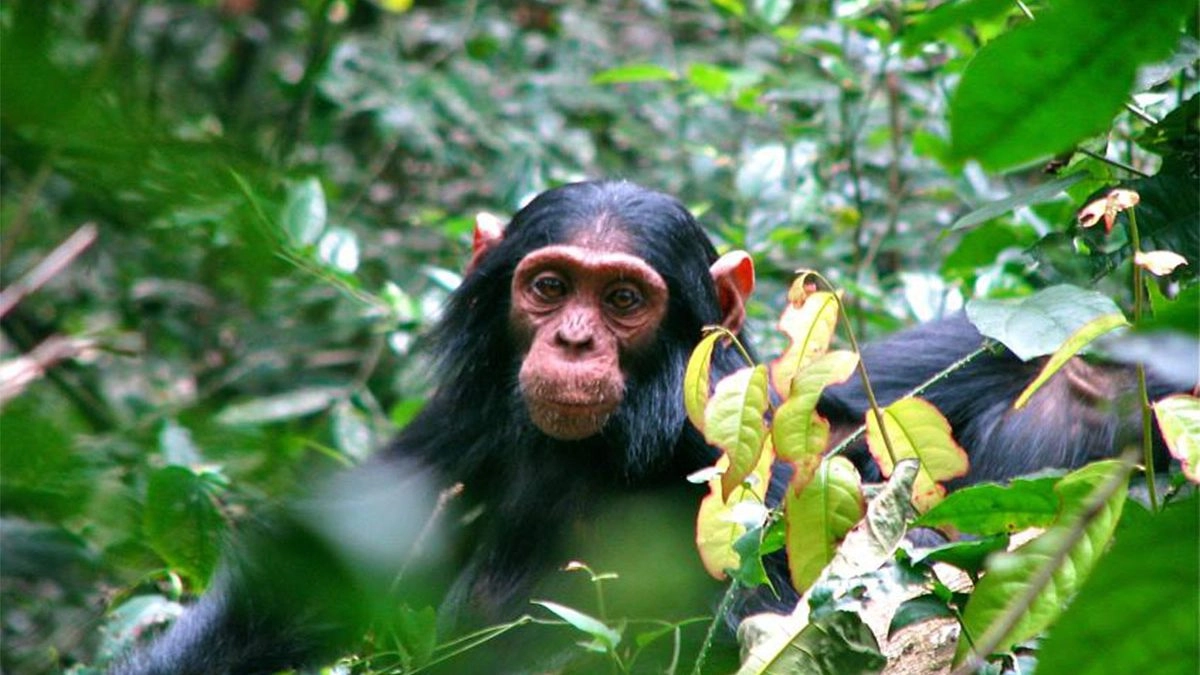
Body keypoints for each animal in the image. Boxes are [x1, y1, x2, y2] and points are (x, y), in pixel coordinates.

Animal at [112, 178, 1171, 672]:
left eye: (623, 299)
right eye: (548, 287)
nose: (575, 339)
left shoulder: (768, 482)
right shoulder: (458, 426)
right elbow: (300, 588)